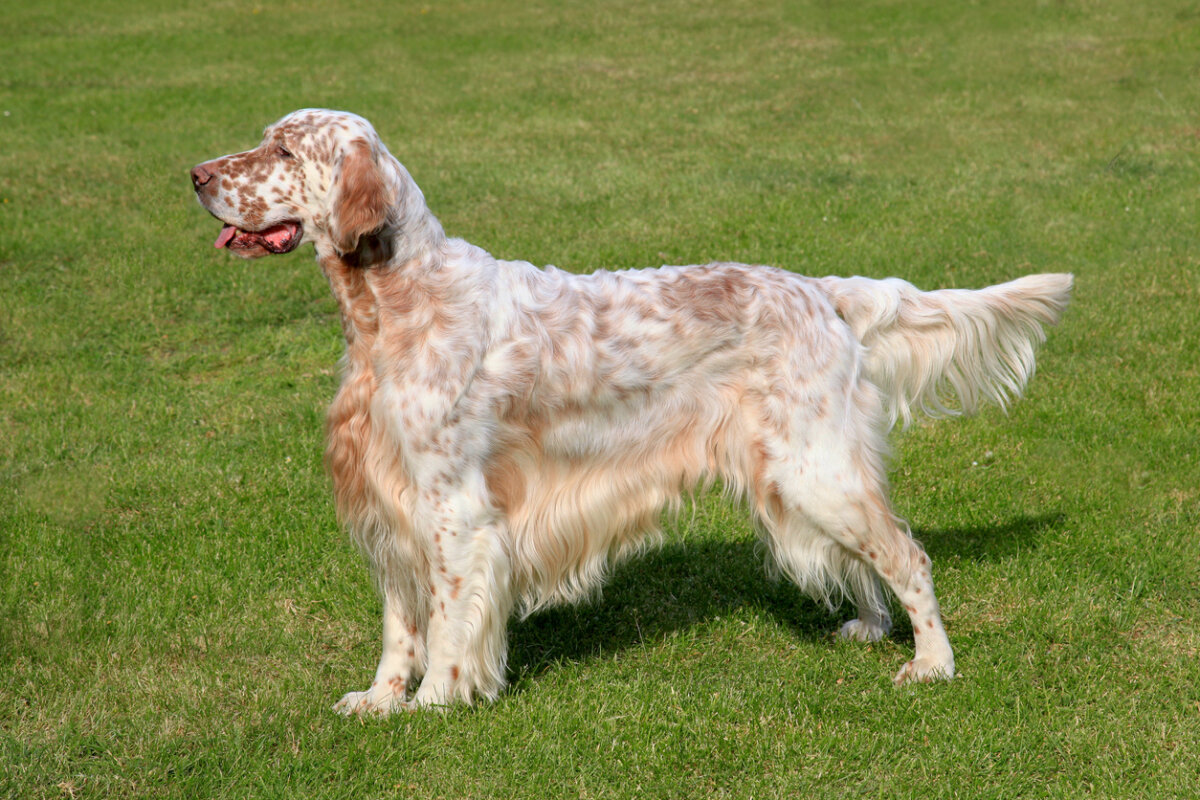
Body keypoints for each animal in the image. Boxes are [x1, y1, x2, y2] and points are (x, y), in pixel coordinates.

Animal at [192, 107, 1075, 714]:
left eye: (282, 150)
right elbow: (399, 626)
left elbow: (445, 623)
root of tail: (822, 291)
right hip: (798, 474)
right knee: (868, 559)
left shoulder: (451, 509)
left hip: (814, 466)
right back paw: (869, 626)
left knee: (908, 556)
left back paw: (932, 664)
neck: (395, 305)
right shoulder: (390, 501)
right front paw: (379, 701)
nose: (195, 175)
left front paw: (435, 703)